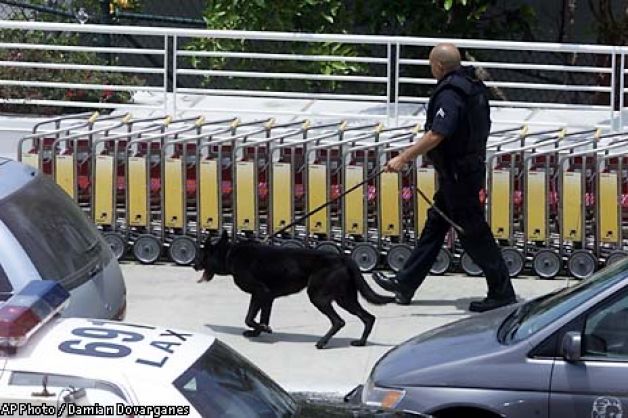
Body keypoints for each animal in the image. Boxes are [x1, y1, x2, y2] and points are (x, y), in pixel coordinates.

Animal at [194, 232, 394, 350]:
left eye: (202, 255)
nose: (194, 265)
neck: (229, 254)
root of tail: (343, 258)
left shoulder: (260, 292)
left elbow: (249, 318)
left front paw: (262, 328)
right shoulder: (267, 297)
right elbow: (262, 316)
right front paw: (259, 331)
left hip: (318, 297)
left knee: (339, 321)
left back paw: (322, 342)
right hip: (345, 298)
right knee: (368, 317)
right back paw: (361, 342)